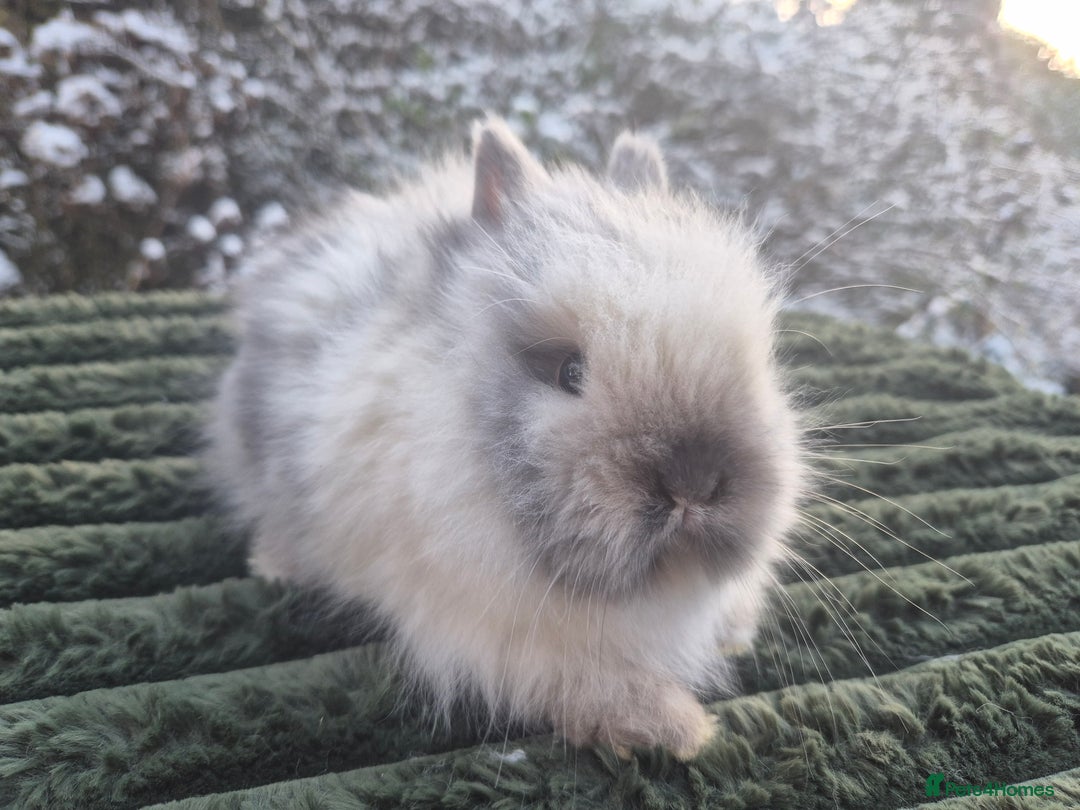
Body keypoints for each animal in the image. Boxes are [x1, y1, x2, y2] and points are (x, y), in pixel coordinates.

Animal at [205, 117, 803, 759]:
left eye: (758, 359)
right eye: (569, 371)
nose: (693, 483)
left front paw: (732, 638)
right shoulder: (498, 633)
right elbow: (588, 682)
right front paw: (675, 729)